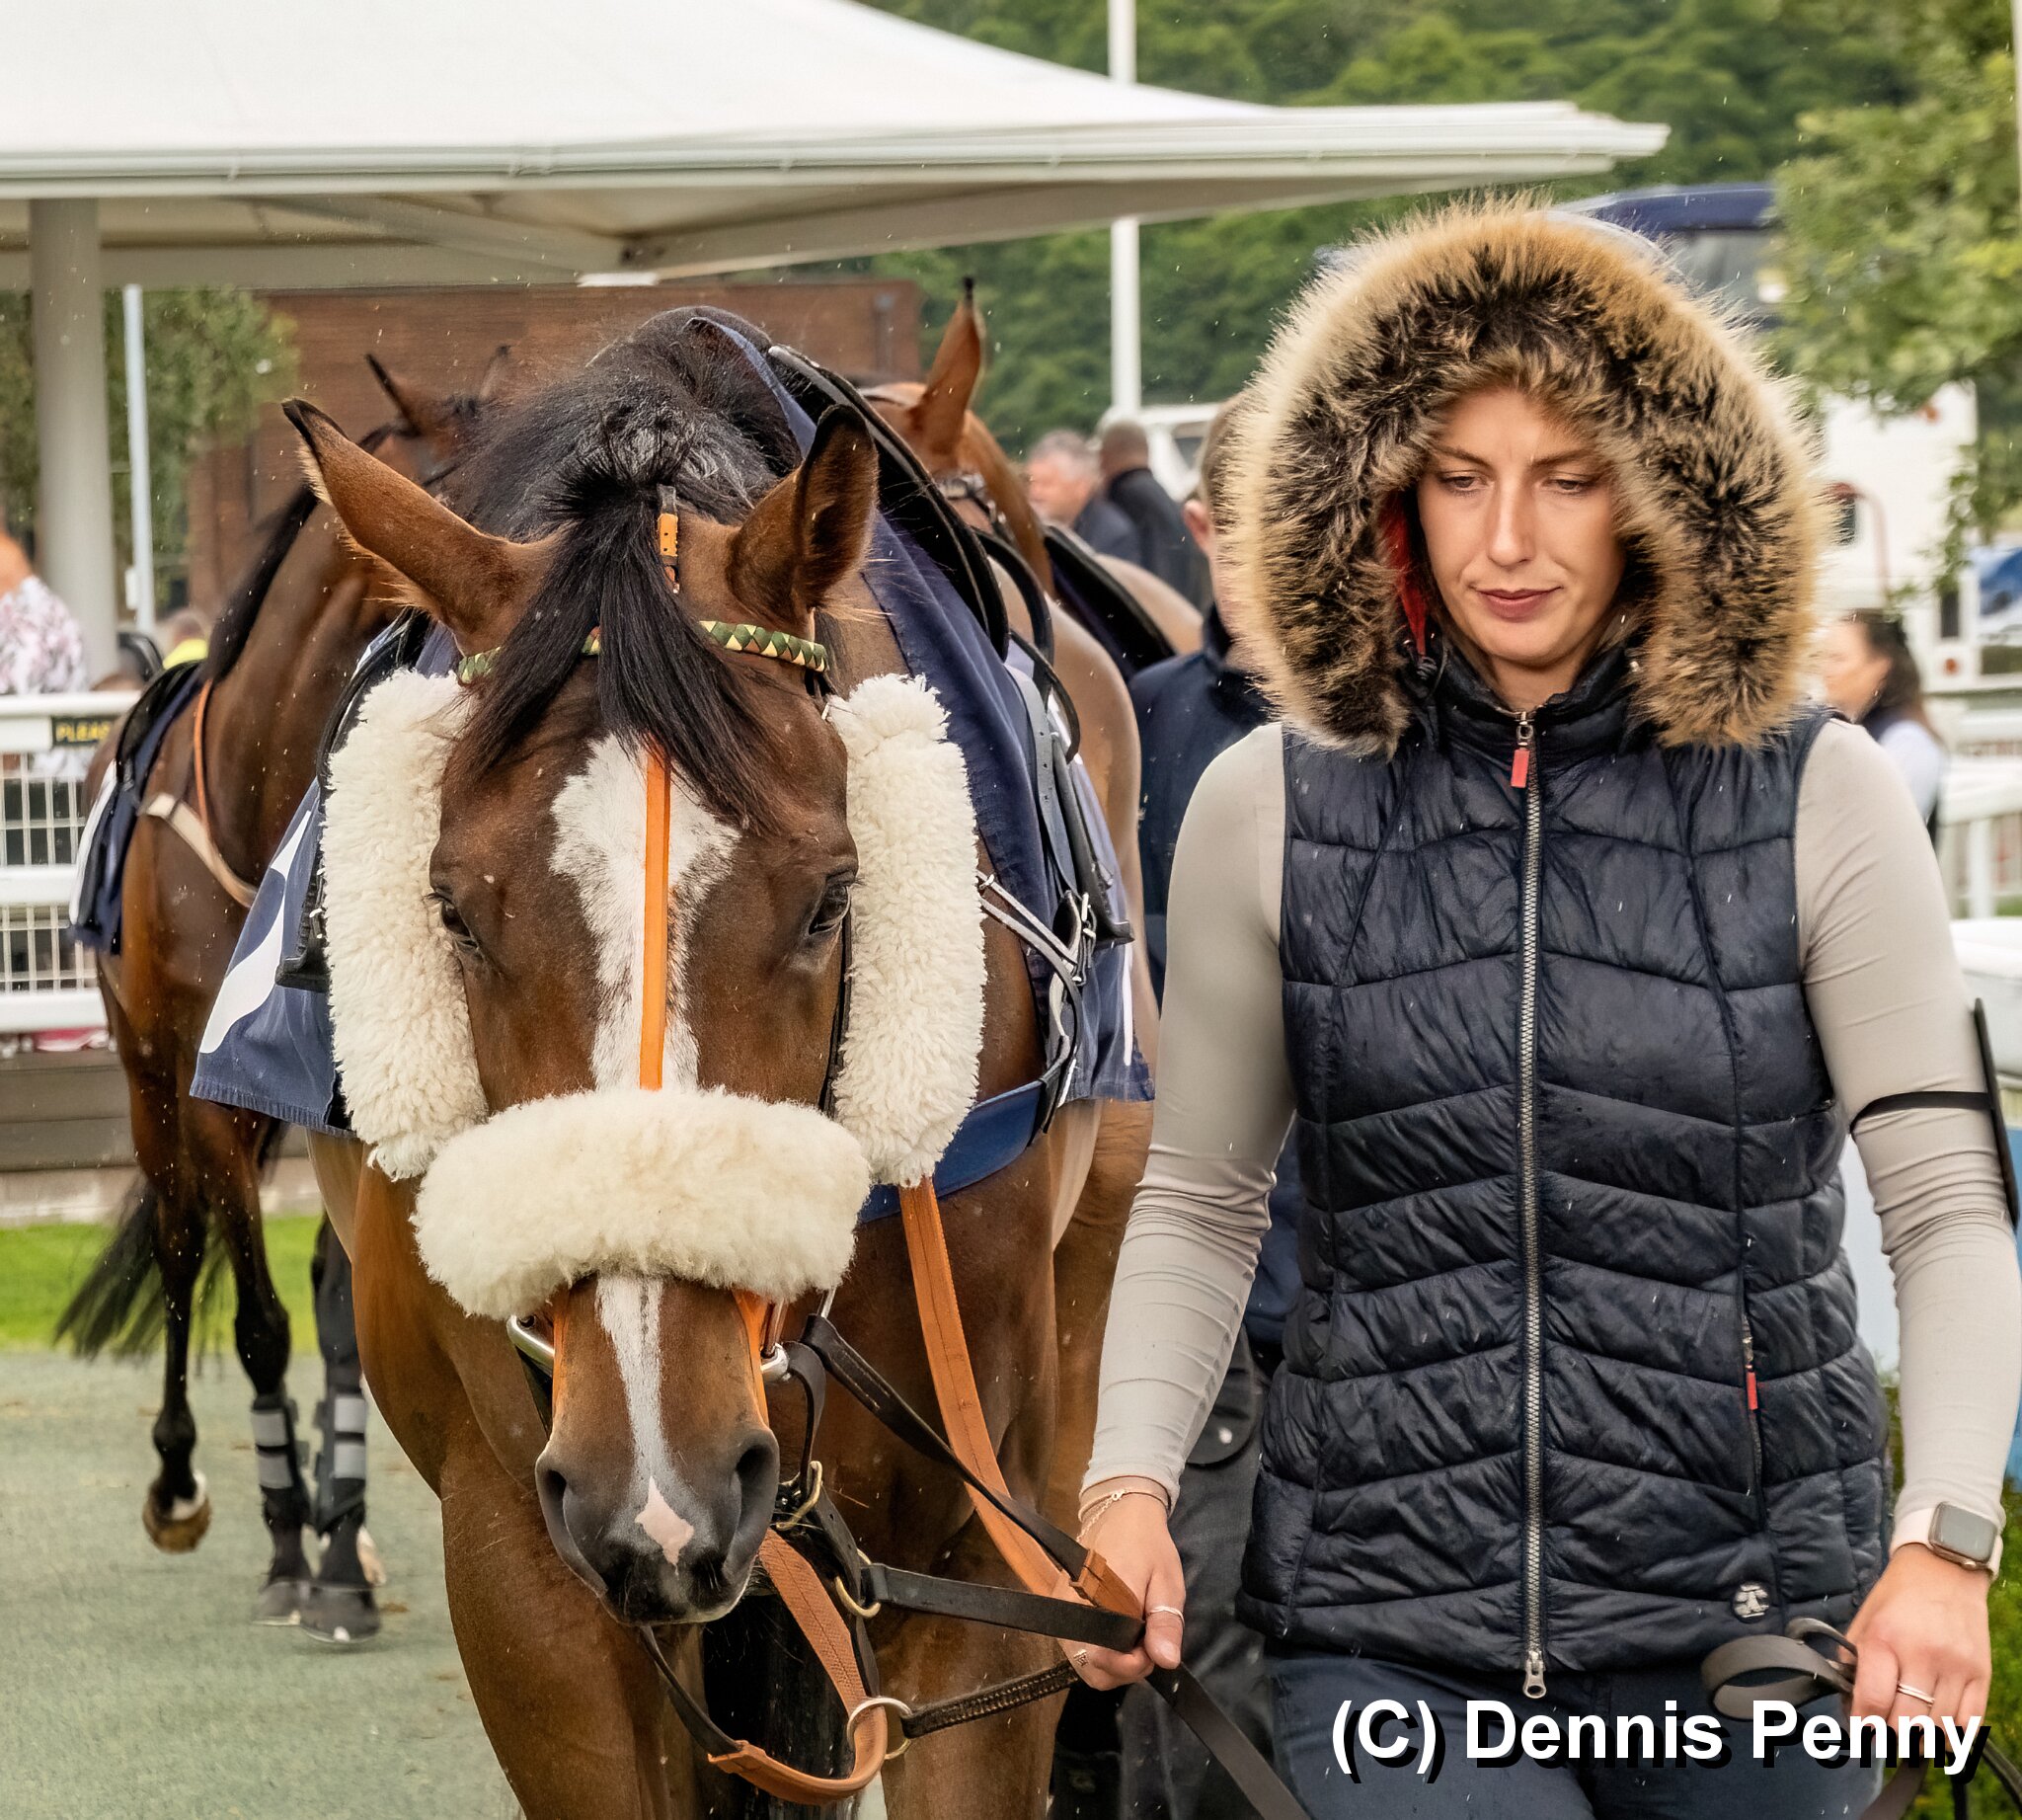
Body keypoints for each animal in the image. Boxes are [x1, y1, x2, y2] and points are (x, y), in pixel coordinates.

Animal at [60, 355, 500, 1638]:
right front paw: (286, 1540)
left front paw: (344, 1545)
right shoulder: (212, 1094)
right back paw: (188, 1483)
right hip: (147, 1080)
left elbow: (343, 1317)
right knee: (175, 1241)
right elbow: (257, 1320)